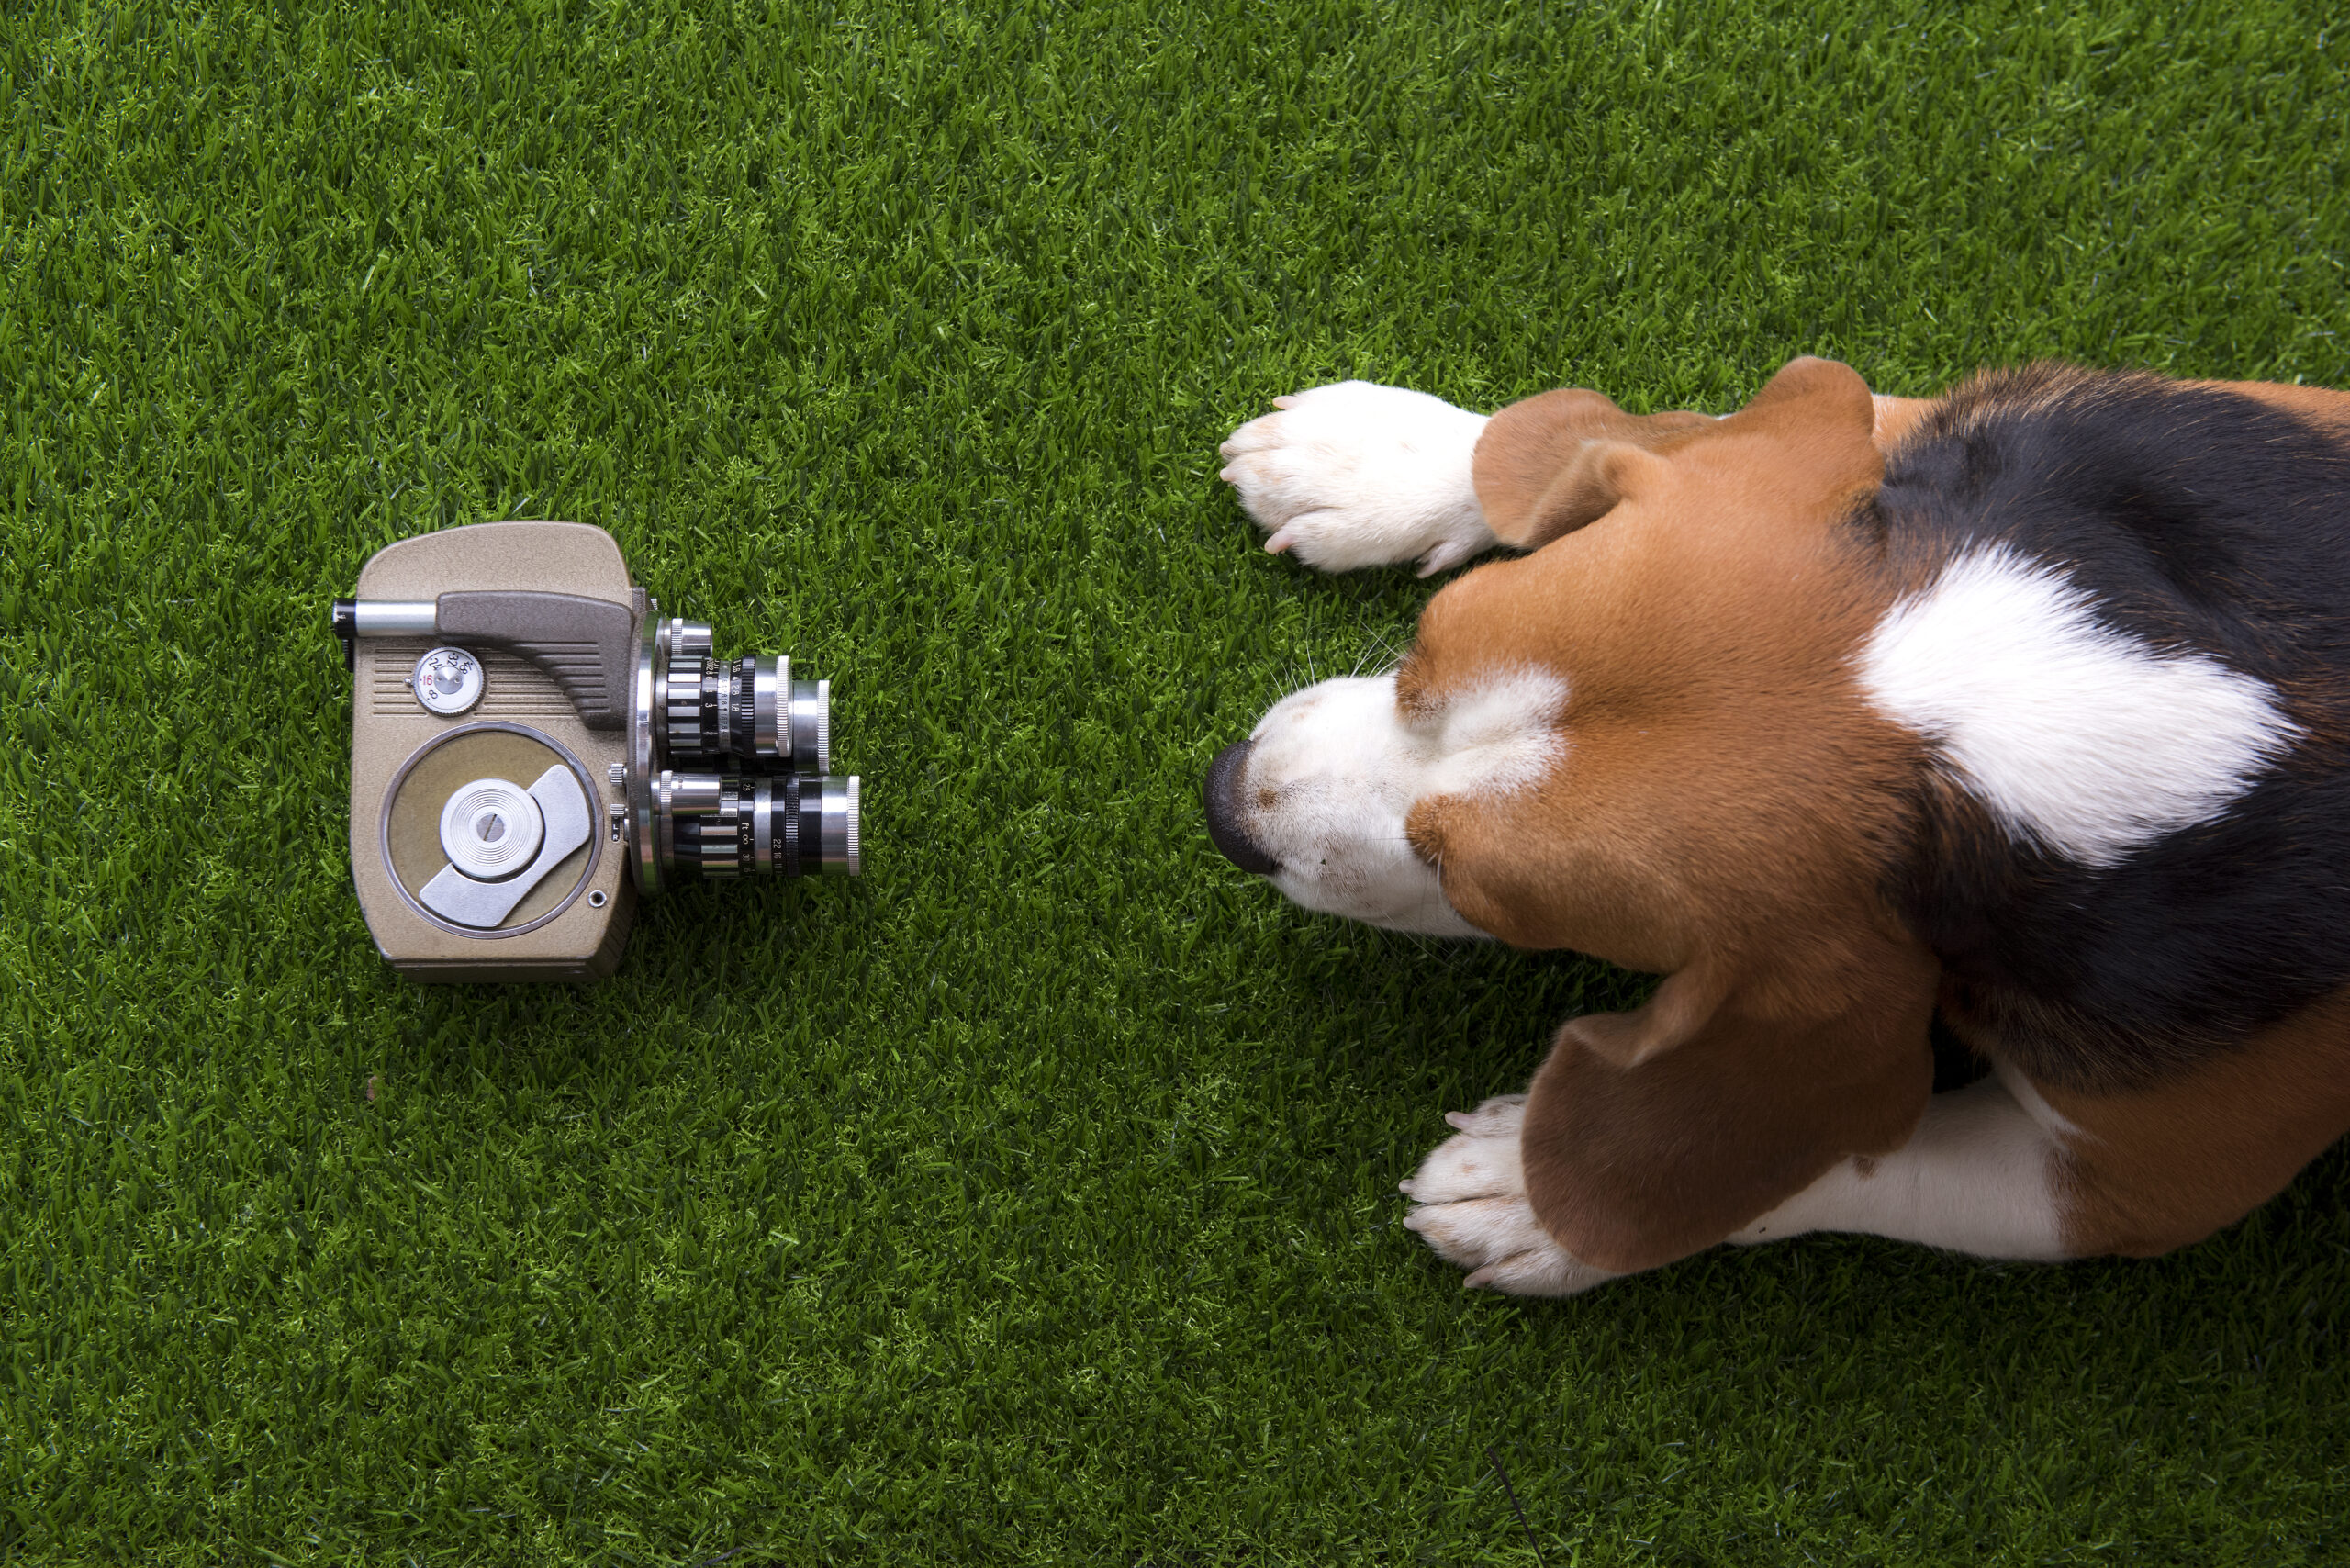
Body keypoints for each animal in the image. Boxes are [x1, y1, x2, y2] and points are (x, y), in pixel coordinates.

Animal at [1212, 362, 2350, 1297]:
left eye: (1469, 890)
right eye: (1420, 652)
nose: (1226, 803)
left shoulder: (2144, 1181)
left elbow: (1848, 1154)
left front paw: (1534, 1201)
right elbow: (1732, 420)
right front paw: (1392, 460)